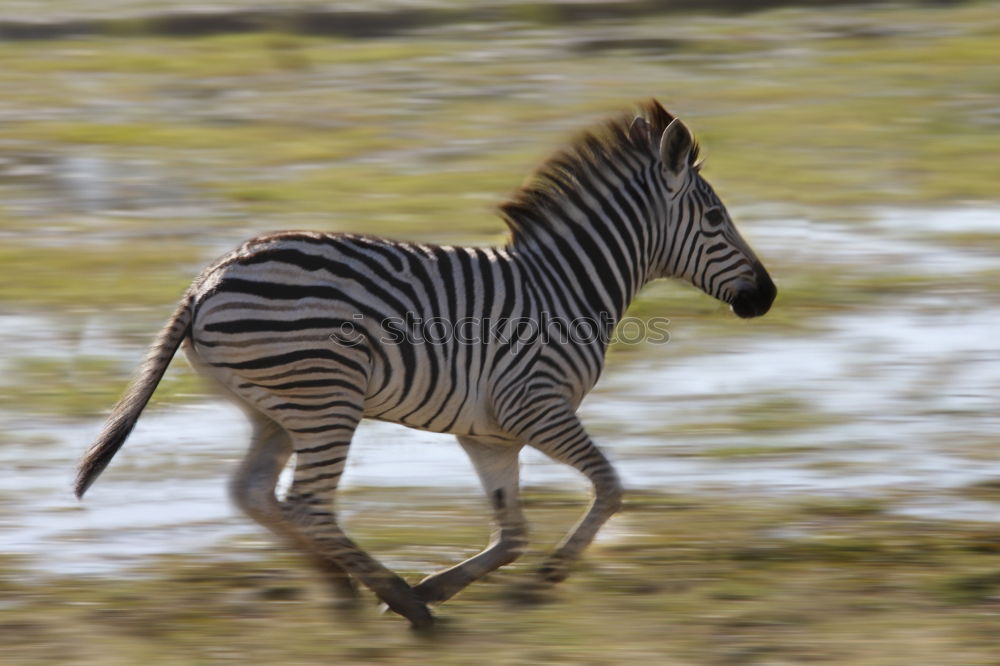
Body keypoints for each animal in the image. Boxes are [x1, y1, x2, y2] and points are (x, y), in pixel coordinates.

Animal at [74, 100, 776, 628]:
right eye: (716, 217)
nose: (766, 297)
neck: (566, 286)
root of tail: (206, 282)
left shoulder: (489, 433)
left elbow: (511, 534)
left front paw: (453, 584)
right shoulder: (536, 404)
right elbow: (609, 488)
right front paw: (543, 581)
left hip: (273, 408)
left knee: (253, 493)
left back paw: (347, 589)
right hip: (326, 398)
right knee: (307, 504)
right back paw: (400, 602)